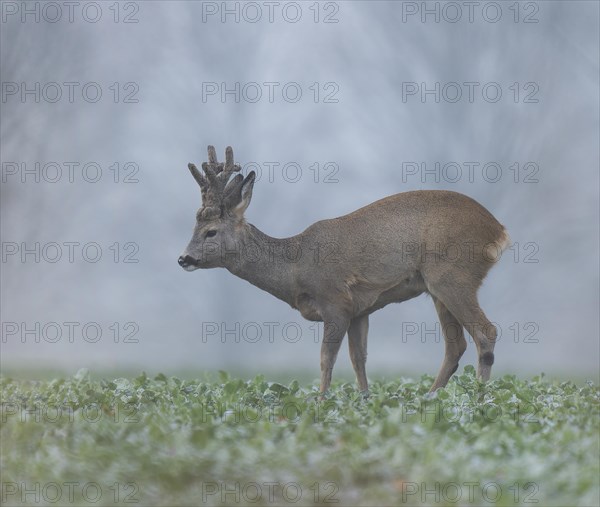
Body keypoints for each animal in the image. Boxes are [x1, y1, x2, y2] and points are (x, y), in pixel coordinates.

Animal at [179, 146, 510, 392]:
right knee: (456, 345)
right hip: (438, 287)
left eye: (210, 232)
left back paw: (478, 398)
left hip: (452, 275)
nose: (184, 258)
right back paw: (431, 397)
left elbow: (326, 359)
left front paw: (320, 402)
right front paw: (365, 400)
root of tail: (499, 230)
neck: (295, 267)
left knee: (485, 332)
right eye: (194, 227)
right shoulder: (359, 310)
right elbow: (358, 359)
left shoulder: (335, 300)